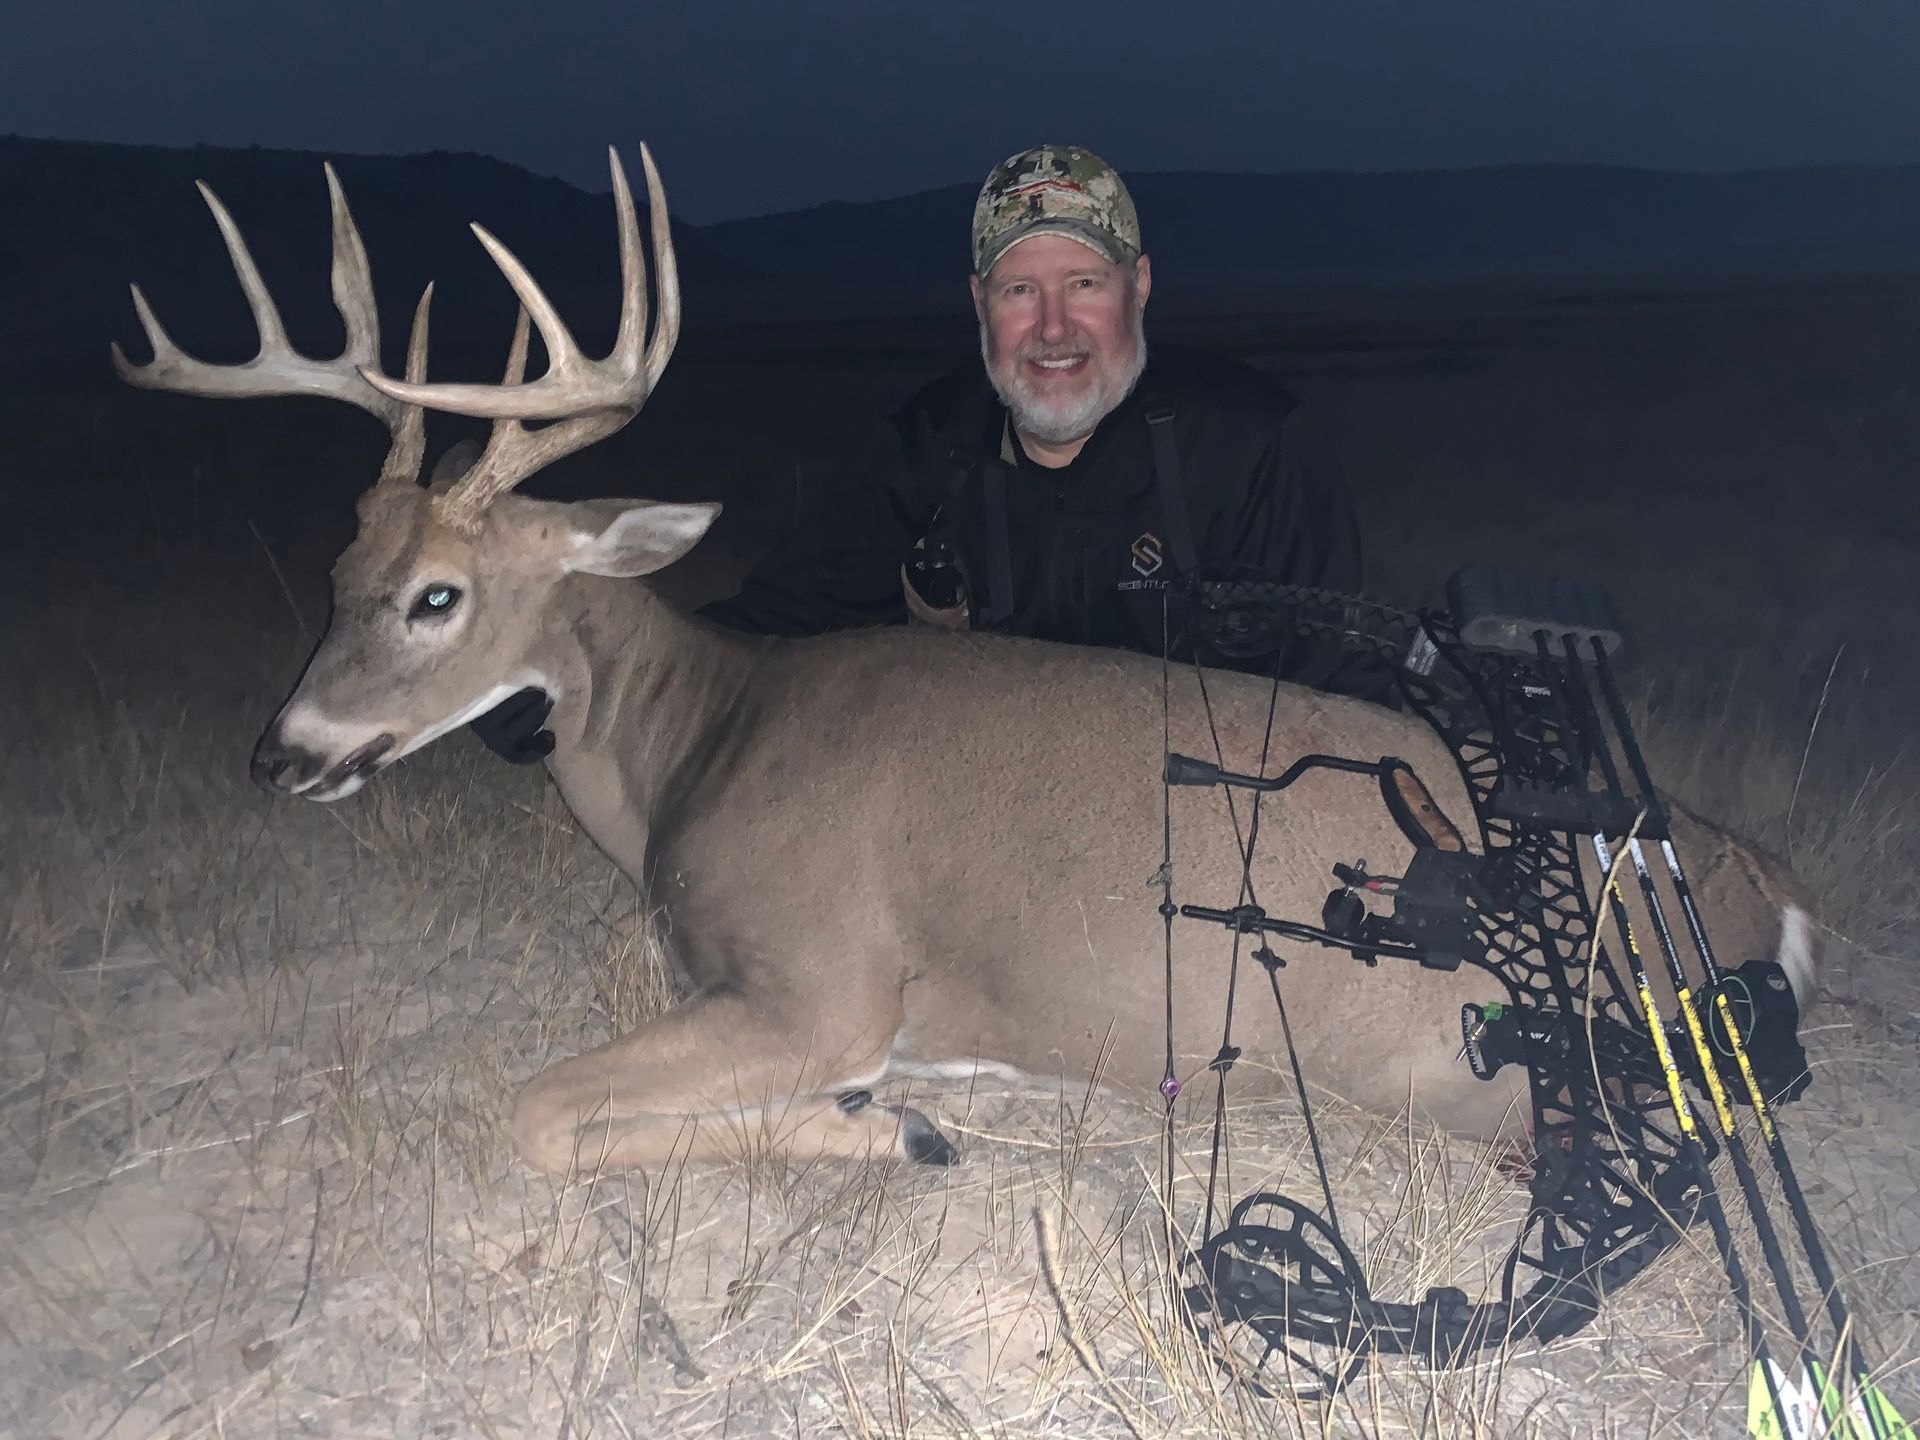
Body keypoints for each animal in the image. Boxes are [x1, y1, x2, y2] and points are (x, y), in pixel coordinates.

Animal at [113, 146, 1822, 1180]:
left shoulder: (821, 979)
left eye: (440, 597)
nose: (281, 751)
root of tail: (1766, 897)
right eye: (340, 569)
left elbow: (537, 1110)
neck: (698, 745)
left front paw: (896, 1132)